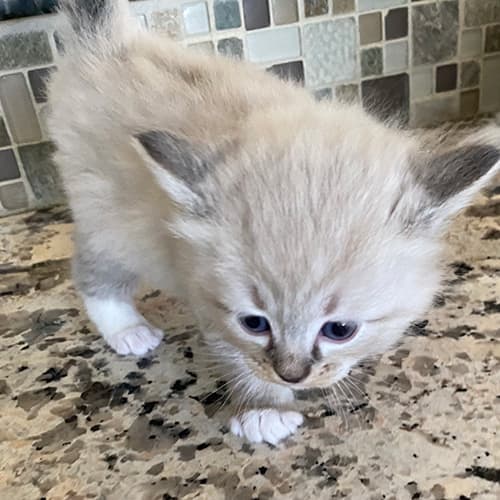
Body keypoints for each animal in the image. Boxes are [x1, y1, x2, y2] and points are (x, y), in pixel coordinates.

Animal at [47, 0, 500, 446]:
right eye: (255, 323)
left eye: (339, 329)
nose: (292, 376)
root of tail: (109, 43)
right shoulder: (206, 300)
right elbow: (242, 359)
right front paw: (264, 410)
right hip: (110, 219)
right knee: (93, 271)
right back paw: (129, 331)